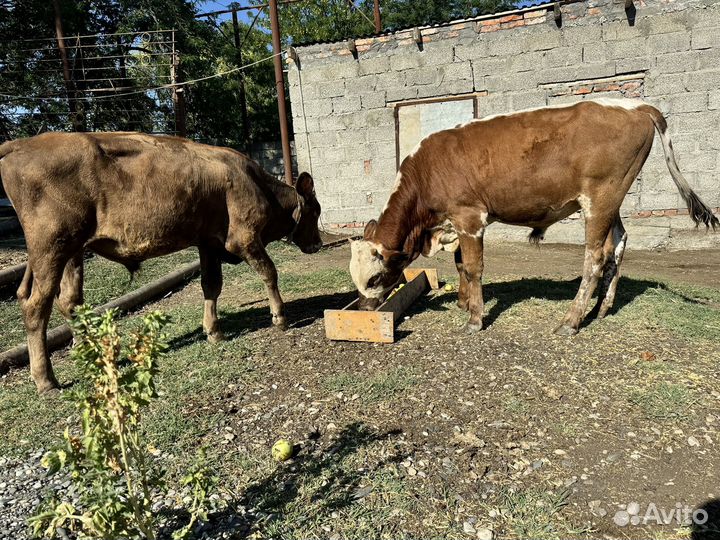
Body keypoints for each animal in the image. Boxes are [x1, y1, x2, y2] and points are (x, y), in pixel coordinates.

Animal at [0, 132, 322, 393]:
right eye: (316, 211)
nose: (318, 244)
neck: (256, 183)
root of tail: (20, 144)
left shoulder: (208, 242)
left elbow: (211, 286)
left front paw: (213, 331)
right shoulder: (244, 238)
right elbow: (269, 272)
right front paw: (280, 317)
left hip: (70, 251)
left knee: (67, 300)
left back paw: (90, 352)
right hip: (51, 247)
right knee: (36, 306)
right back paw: (46, 380)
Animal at [349, 99, 718, 337]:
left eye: (374, 278)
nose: (364, 310)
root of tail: (635, 106)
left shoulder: (469, 217)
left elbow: (473, 267)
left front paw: (474, 319)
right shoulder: (456, 222)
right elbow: (460, 265)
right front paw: (463, 303)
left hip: (600, 199)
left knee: (595, 258)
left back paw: (571, 321)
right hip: (612, 203)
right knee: (618, 245)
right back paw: (600, 309)